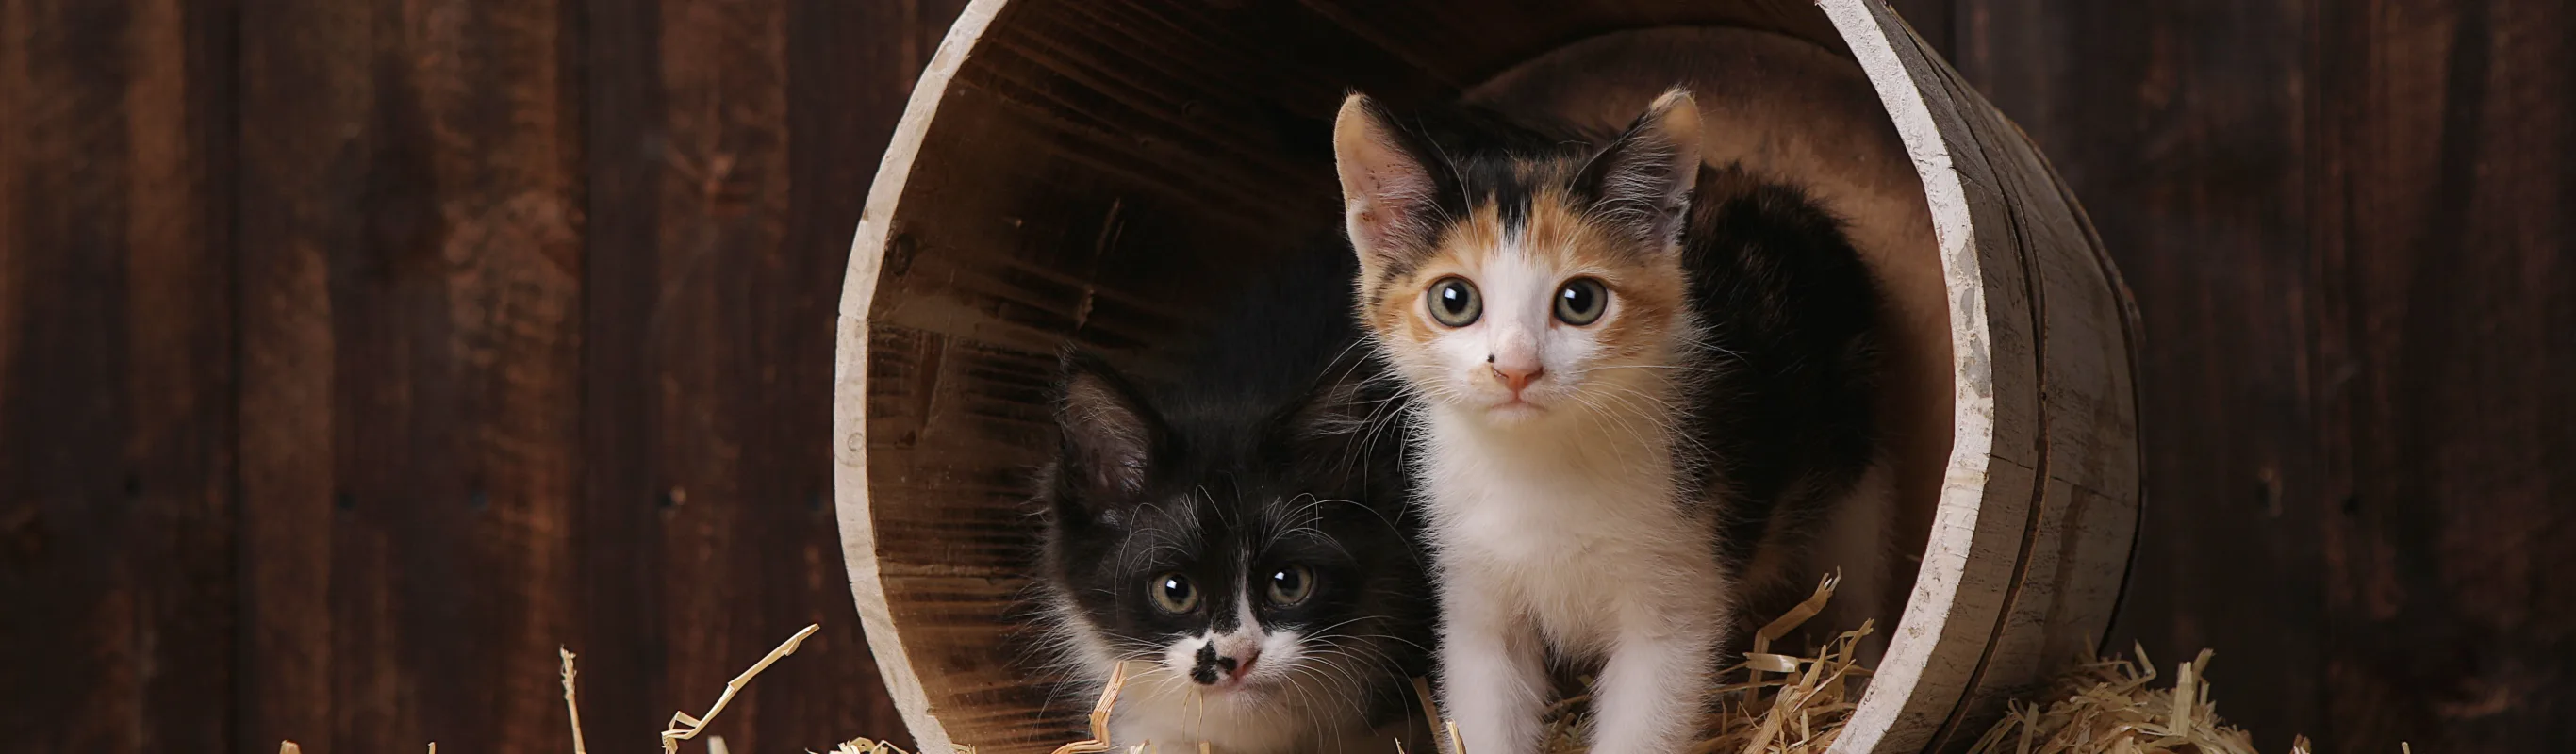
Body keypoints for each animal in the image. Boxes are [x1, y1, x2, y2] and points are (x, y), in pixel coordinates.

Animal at [1329, 89, 1895, 751]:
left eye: (1581, 302)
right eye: (1454, 300)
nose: (1516, 370)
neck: (1538, 465)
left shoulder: (1675, 602)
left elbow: (1645, 719)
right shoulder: (1476, 601)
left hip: (1858, 457)